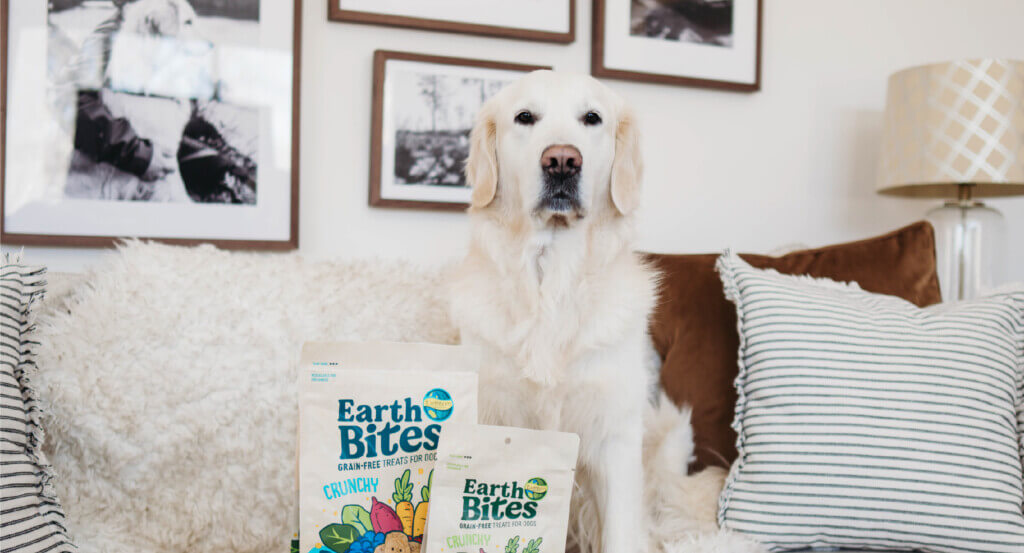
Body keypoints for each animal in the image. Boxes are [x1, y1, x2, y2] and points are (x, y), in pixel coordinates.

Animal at [452, 72, 708, 553]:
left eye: (592, 118)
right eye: (525, 117)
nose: (562, 161)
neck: (551, 277)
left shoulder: (615, 436)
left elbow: (621, 535)